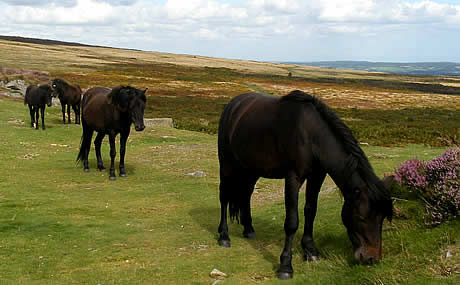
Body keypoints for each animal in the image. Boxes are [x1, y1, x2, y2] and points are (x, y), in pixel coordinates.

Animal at [217, 90, 394, 278]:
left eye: (382, 218)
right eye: (361, 217)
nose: (372, 259)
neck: (311, 136)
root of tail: (234, 104)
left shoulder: (317, 176)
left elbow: (311, 210)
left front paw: (310, 251)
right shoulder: (293, 178)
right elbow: (292, 221)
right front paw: (285, 266)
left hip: (252, 169)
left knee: (246, 194)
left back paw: (249, 229)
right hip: (226, 164)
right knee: (224, 197)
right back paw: (224, 236)